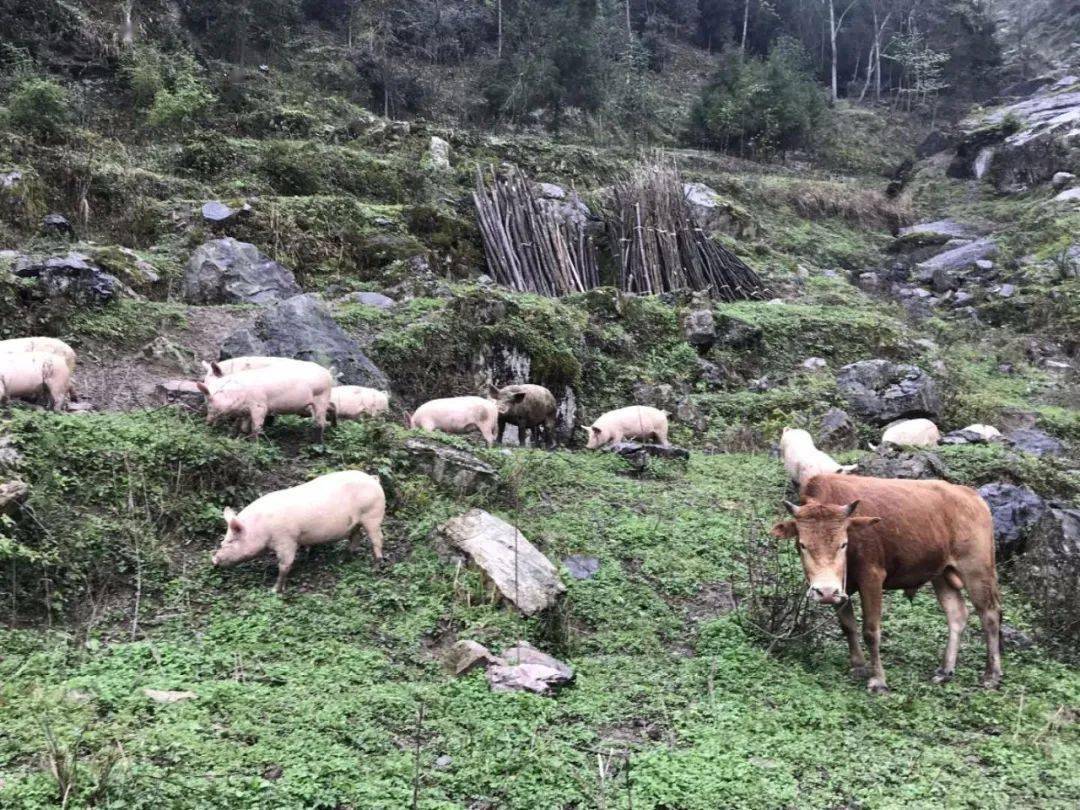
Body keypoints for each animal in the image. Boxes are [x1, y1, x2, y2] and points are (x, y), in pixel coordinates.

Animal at [194, 360, 334, 438]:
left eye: (210, 401)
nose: (207, 422)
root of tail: (327, 372)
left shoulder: (259, 406)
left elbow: (256, 427)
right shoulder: (246, 410)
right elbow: (244, 426)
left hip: (321, 397)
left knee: (320, 422)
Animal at [212, 468, 386, 596]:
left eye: (232, 541)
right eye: (223, 540)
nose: (214, 560)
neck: (261, 528)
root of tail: (373, 479)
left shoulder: (286, 540)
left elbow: (285, 565)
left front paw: (274, 590)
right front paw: (308, 554)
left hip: (373, 515)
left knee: (377, 539)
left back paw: (376, 567)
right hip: (356, 522)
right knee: (356, 536)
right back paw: (344, 559)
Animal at [773, 473, 997, 695]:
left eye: (843, 544)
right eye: (802, 544)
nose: (825, 591)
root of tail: (972, 496)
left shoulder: (871, 578)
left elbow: (871, 631)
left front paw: (878, 680)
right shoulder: (839, 589)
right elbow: (848, 626)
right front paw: (859, 666)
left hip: (977, 570)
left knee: (990, 614)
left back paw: (991, 675)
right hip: (941, 574)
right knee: (956, 614)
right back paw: (945, 670)